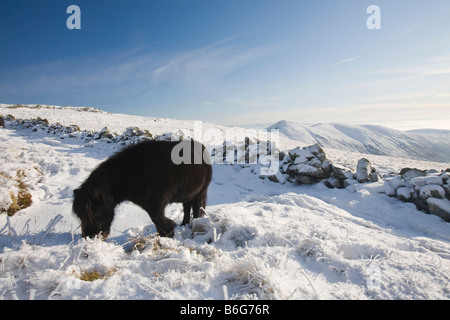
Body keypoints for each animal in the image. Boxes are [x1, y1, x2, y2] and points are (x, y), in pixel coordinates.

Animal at [73, 139, 214, 239]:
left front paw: (167, 235)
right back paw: (184, 225)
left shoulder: (157, 203)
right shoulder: (150, 205)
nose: (88, 237)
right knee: (187, 208)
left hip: (201, 193)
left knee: (197, 211)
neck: (133, 172)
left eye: (94, 212)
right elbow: (158, 222)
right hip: (189, 194)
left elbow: (159, 221)